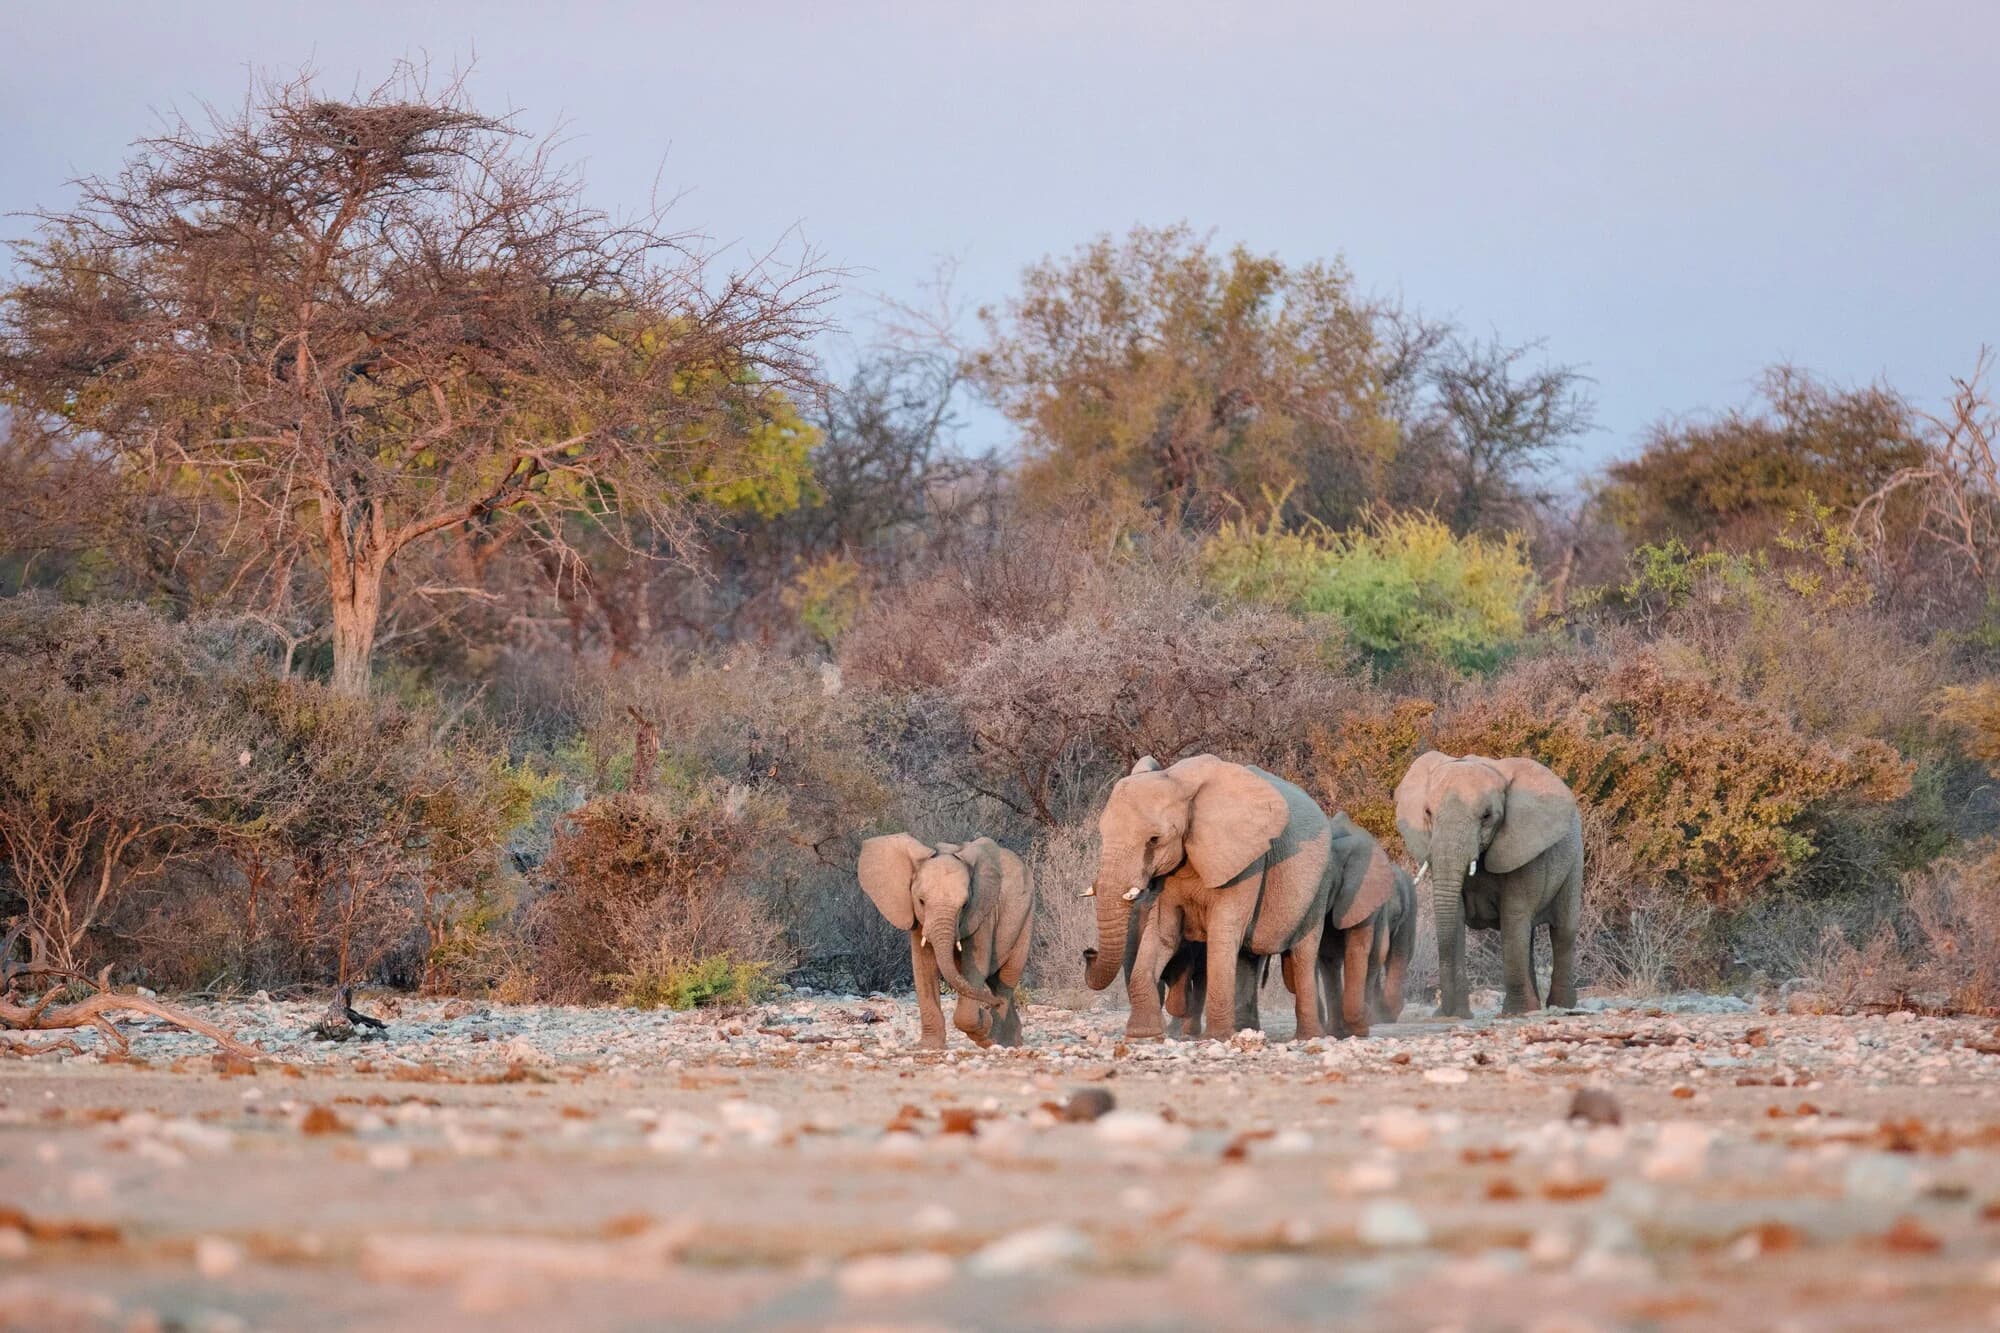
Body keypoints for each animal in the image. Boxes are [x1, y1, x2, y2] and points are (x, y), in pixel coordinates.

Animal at [858, 834, 1034, 1050]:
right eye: (921, 901)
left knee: (1007, 978)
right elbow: (924, 968)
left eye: (964, 905)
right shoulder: (919, 919)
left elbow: (975, 967)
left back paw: (996, 1040)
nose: (986, 1009)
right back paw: (1010, 1041)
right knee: (995, 981)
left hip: (1026, 918)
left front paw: (983, 1026)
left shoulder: (982, 913)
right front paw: (929, 1047)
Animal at [1081, 754, 1339, 1041]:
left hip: (1320, 882)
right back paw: (1248, 1030)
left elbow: (1222, 931)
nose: (1088, 952)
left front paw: (1216, 1037)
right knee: (1248, 958)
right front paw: (1143, 1034)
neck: (1180, 782)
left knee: (1303, 952)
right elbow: (1162, 933)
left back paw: (1309, 1037)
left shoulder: (1246, 862)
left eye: (1154, 839)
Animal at [1394, 752, 1583, 1019]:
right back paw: (1534, 1007)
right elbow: (1455, 920)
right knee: (1528, 939)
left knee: (1562, 931)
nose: (1443, 1012)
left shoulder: (1521, 849)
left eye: (1486, 817)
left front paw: (1514, 1013)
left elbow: (1513, 919)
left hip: (1574, 860)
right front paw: (1458, 1015)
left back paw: (1561, 1006)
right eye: (1428, 813)